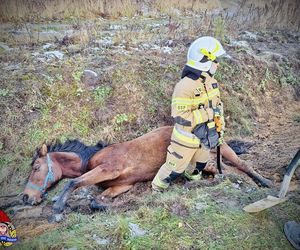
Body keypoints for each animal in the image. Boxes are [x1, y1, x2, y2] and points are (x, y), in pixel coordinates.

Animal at [22, 126, 272, 212]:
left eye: (36, 167)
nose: (25, 197)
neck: (92, 158)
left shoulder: (109, 169)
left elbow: (75, 182)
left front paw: (58, 206)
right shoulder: (121, 185)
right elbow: (97, 200)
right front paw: (106, 206)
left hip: (221, 151)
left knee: (241, 166)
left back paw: (264, 182)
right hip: (205, 162)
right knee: (219, 171)